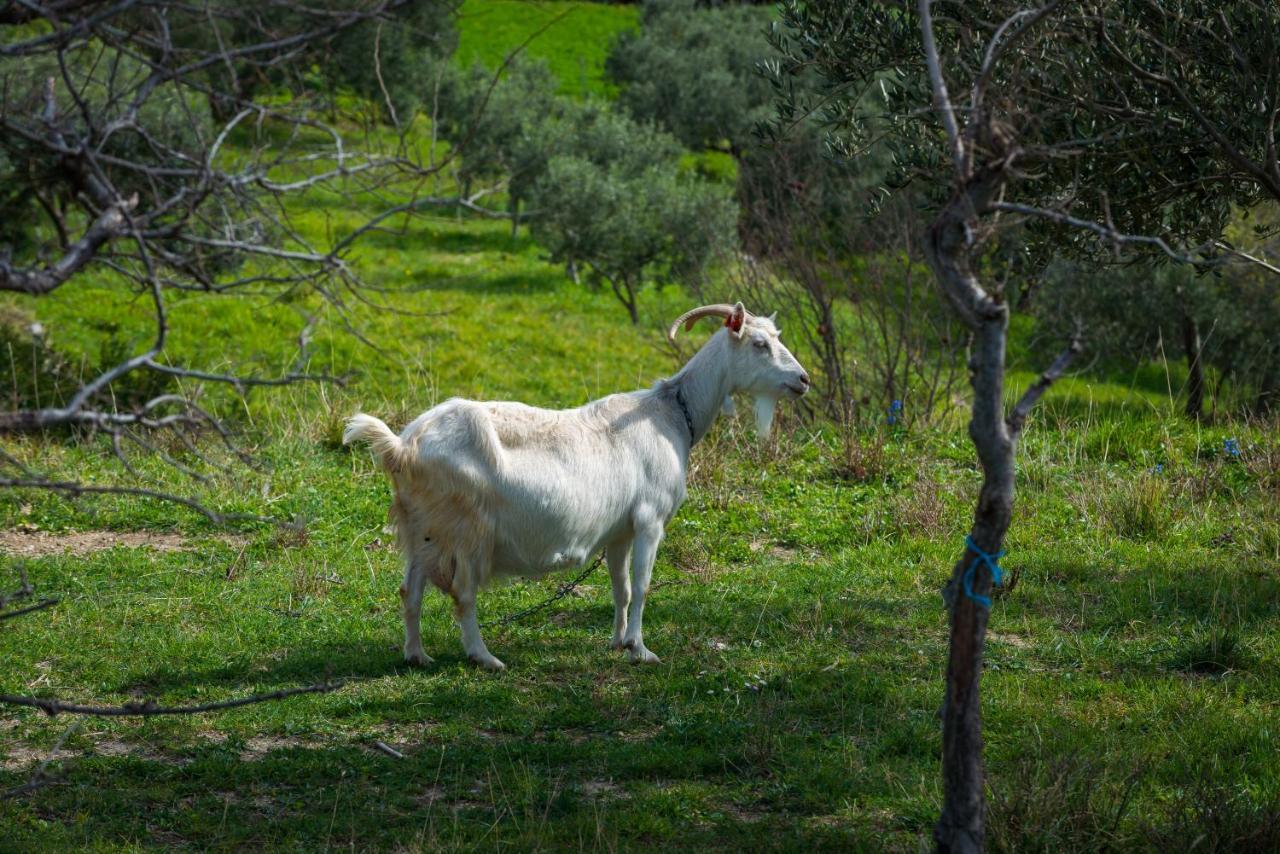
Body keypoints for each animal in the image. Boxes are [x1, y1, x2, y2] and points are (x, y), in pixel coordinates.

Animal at [345, 303, 803, 670]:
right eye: (759, 343)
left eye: (778, 337)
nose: (803, 380)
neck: (673, 413)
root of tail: (403, 446)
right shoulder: (651, 519)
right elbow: (642, 586)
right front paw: (641, 650)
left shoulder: (621, 530)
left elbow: (621, 587)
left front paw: (619, 642)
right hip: (467, 529)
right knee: (463, 592)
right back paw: (485, 657)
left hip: (421, 528)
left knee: (410, 590)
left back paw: (417, 654)